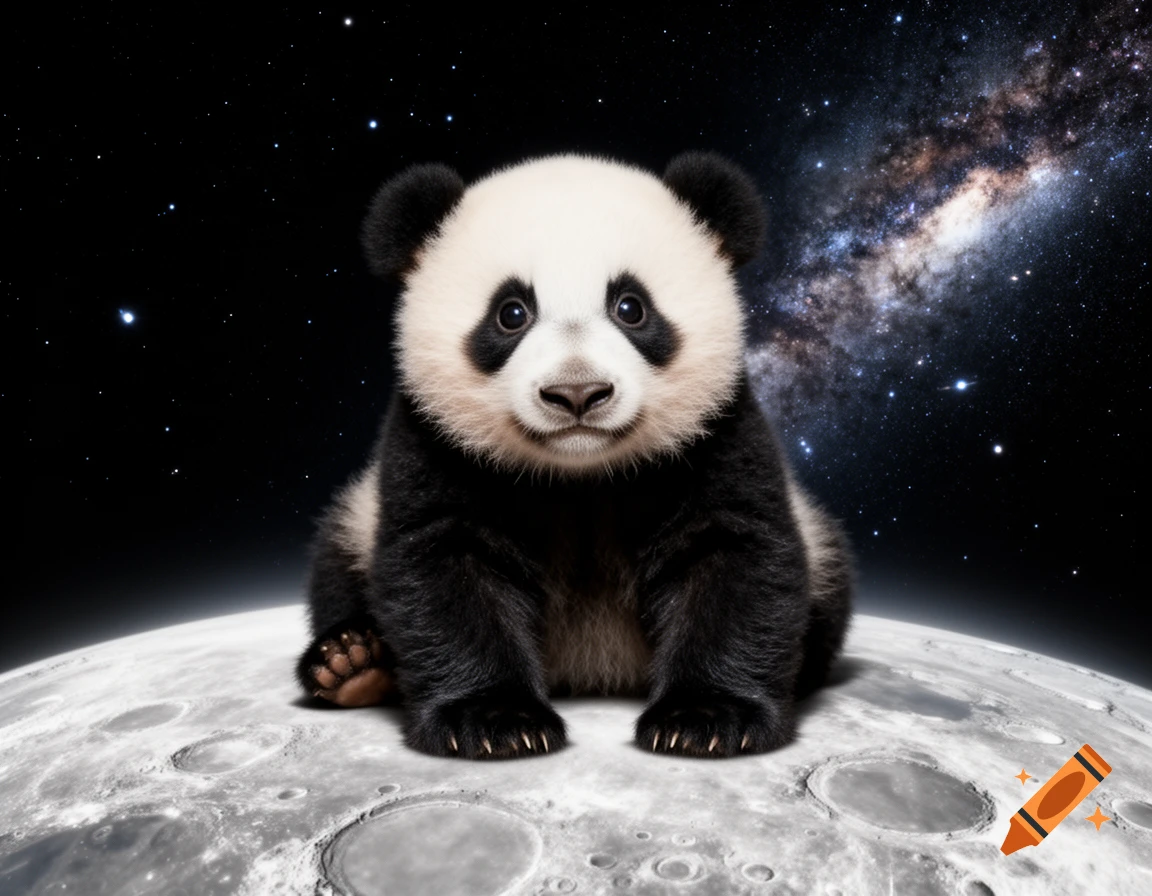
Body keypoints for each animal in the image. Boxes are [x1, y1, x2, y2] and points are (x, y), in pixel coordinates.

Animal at [296, 152, 853, 760]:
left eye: (631, 307)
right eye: (511, 312)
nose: (578, 393)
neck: (581, 473)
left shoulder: (716, 435)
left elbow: (733, 554)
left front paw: (704, 718)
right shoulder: (434, 443)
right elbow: (444, 563)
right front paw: (495, 720)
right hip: (357, 516)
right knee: (336, 561)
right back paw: (351, 664)